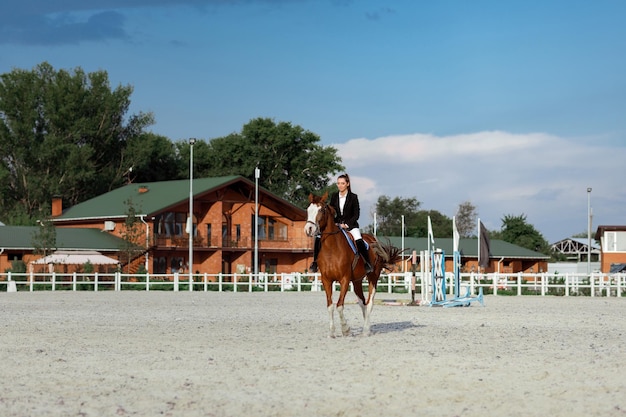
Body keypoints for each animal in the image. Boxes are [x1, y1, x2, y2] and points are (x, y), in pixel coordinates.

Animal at [304, 193, 402, 336]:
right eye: (308, 210)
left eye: (321, 210)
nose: (309, 229)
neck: (331, 248)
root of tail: (373, 240)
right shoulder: (326, 280)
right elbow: (330, 306)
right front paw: (332, 332)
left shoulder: (344, 280)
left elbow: (339, 305)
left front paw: (346, 329)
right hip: (357, 281)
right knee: (362, 302)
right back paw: (367, 326)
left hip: (373, 277)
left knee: (370, 302)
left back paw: (366, 330)